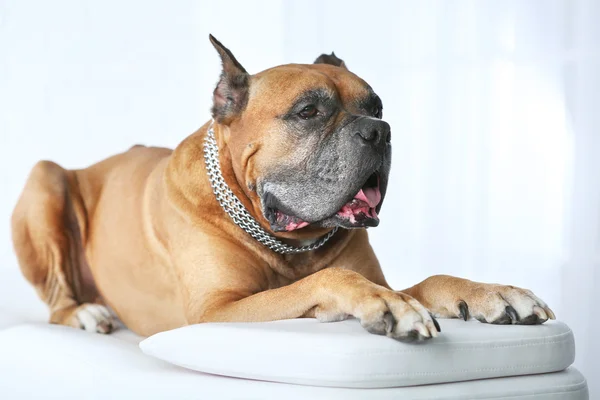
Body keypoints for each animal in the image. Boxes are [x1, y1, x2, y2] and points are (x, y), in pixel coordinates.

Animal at [10, 35, 552, 340]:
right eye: (308, 111)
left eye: (377, 107)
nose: (379, 131)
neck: (287, 239)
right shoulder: (215, 312)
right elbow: (327, 279)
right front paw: (386, 306)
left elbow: (430, 281)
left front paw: (492, 293)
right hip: (45, 179)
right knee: (57, 302)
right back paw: (86, 313)